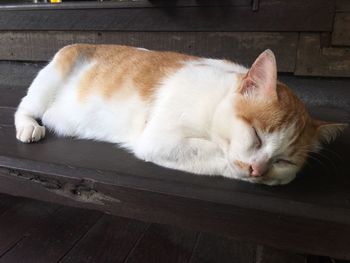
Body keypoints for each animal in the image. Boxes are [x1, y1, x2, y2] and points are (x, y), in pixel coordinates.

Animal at [14, 44, 348, 186]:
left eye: (284, 160)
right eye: (256, 136)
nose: (259, 169)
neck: (214, 102)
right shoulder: (158, 140)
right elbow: (217, 155)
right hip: (49, 81)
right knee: (25, 107)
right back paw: (29, 126)